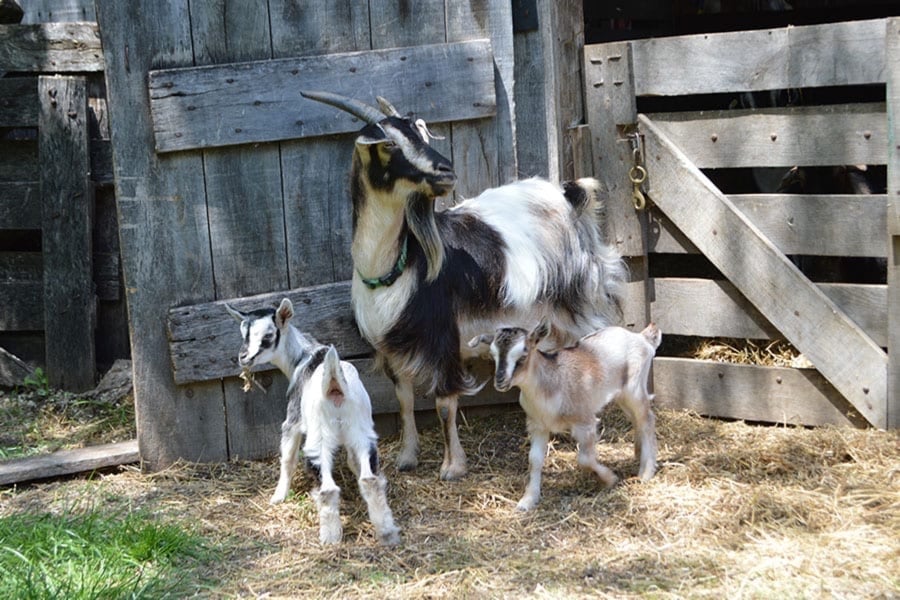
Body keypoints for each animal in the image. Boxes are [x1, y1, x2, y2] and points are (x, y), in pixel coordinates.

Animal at [225, 298, 400, 545]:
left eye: (268, 335)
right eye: (244, 334)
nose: (244, 357)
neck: (305, 357)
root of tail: (335, 384)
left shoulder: (293, 419)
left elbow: (288, 458)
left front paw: (277, 497)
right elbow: (354, 463)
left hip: (319, 438)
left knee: (327, 488)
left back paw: (329, 537)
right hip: (362, 430)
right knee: (370, 479)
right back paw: (387, 532)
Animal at [300, 91, 627, 481]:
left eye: (420, 135)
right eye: (389, 144)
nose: (445, 171)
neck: (397, 265)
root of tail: (569, 195)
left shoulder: (443, 340)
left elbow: (444, 406)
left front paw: (452, 466)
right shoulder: (392, 346)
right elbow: (404, 401)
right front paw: (407, 457)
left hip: (577, 298)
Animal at [469, 321, 660, 511]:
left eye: (523, 354)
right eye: (493, 355)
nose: (500, 381)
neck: (552, 383)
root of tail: (642, 338)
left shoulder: (585, 422)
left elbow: (584, 459)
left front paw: (609, 479)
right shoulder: (537, 425)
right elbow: (534, 460)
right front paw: (528, 500)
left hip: (635, 388)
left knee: (647, 420)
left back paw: (646, 472)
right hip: (621, 395)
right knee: (637, 420)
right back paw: (638, 454)